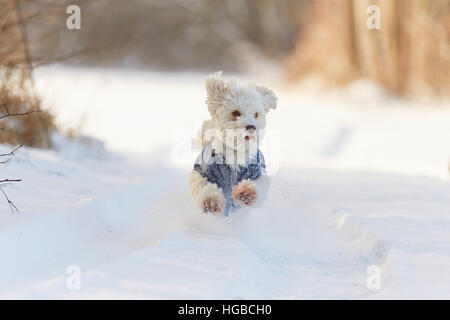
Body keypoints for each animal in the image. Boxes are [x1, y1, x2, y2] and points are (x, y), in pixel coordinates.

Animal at [188, 71, 276, 216]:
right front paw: (211, 201)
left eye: (256, 114)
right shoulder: (202, 171)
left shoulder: (257, 173)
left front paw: (247, 193)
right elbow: (203, 186)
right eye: (236, 113)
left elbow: (258, 186)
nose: (251, 127)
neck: (236, 153)